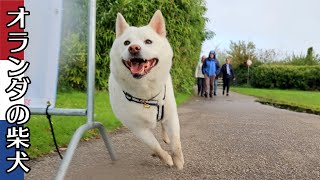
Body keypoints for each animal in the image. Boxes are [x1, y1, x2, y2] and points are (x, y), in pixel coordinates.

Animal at [109, 10, 185, 170]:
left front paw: (178, 160)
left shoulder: (171, 116)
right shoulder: (137, 128)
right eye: (126, 43)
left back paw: (166, 137)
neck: (146, 94)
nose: (133, 48)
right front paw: (166, 159)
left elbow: (176, 142)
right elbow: (154, 145)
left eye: (148, 41)